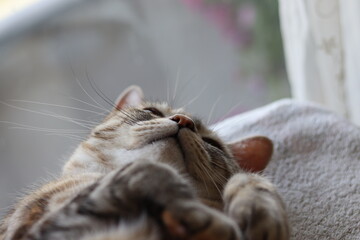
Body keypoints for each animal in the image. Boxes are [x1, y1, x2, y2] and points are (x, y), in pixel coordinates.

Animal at [0, 86, 288, 240]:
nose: (184, 120)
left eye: (212, 144)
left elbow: (249, 178)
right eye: (152, 112)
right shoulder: (32, 226)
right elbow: (150, 170)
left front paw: (263, 214)